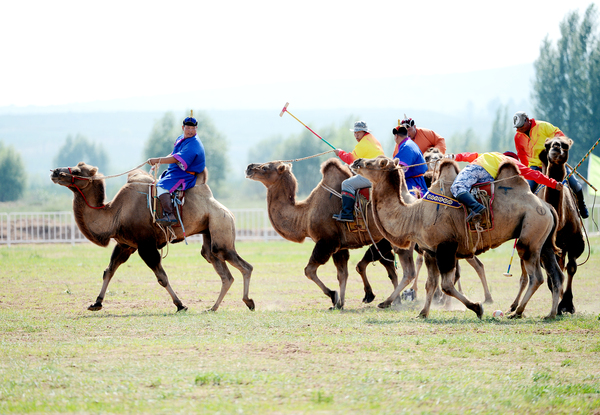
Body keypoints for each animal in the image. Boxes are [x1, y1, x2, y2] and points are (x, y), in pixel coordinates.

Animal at [52, 162, 255, 312]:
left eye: (77, 171)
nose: (55, 171)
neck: (115, 214)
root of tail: (229, 213)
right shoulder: (125, 245)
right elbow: (108, 271)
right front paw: (96, 303)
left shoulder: (145, 245)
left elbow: (162, 277)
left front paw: (180, 305)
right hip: (209, 233)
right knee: (220, 269)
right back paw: (214, 307)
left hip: (221, 228)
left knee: (245, 266)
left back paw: (248, 301)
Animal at [244, 158, 412, 308]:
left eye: (265, 167)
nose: (249, 167)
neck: (305, 214)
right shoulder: (340, 246)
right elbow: (342, 274)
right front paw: (340, 304)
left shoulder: (326, 242)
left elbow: (309, 271)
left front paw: (333, 296)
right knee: (389, 265)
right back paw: (393, 300)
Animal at [350, 154, 564, 320]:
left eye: (378, 163)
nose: (357, 161)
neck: (415, 215)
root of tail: (547, 207)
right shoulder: (430, 252)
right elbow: (430, 284)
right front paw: (422, 313)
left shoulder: (446, 246)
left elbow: (446, 285)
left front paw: (477, 308)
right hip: (543, 242)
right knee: (555, 274)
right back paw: (550, 313)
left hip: (529, 236)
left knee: (536, 276)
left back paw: (517, 311)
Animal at [508, 136, 584, 316]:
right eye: (548, 145)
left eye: (565, 145)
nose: (556, 148)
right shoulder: (543, 247)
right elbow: (549, 276)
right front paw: (560, 305)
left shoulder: (574, 244)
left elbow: (571, 268)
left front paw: (567, 304)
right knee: (525, 275)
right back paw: (514, 306)